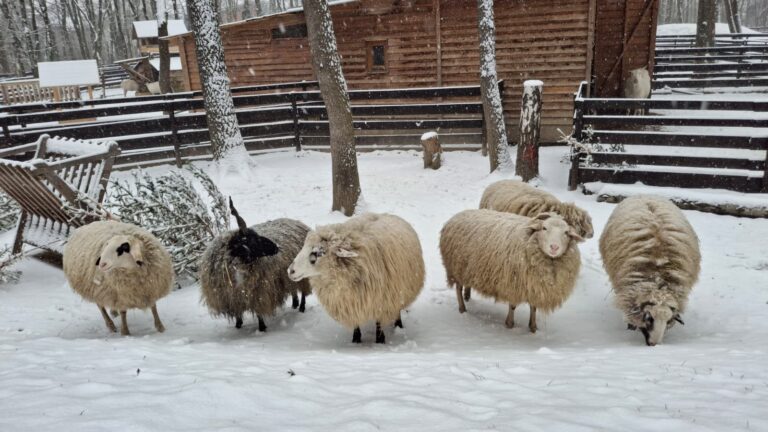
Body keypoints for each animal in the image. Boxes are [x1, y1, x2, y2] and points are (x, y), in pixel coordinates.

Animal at [199, 198, 311, 331]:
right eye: (253, 240)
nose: (276, 247)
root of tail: (297, 222)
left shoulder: (258, 294)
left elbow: (259, 313)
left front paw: (262, 327)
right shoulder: (232, 297)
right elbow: (238, 314)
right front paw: (238, 325)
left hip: (302, 273)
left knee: (303, 292)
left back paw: (301, 307)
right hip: (289, 274)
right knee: (293, 289)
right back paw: (295, 304)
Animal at [287, 213, 425, 344]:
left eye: (318, 253)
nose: (290, 271)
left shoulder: (382, 301)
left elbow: (379, 324)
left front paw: (380, 341)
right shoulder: (351, 301)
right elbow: (356, 323)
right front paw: (356, 340)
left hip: (397, 294)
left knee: (397, 310)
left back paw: (398, 326)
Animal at [440, 210, 583, 332]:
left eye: (566, 232)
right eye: (544, 228)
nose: (554, 247)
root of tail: (457, 215)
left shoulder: (534, 287)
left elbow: (534, 307)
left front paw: (533, 327)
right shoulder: (514, 283)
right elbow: (513, 306)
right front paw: (509, 324)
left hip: (467, 268)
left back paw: (467, 295)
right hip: (456, 267)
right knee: (458, 288)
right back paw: (462, 308)